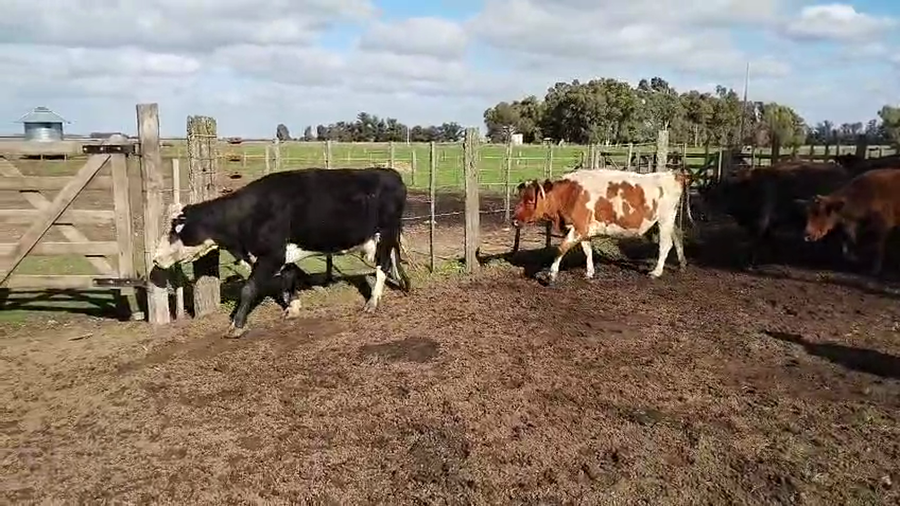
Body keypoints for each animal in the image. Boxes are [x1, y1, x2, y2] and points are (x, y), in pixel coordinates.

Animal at [152, 167, 411, 338]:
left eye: (175, 230)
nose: (155, 257)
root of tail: (391, 173)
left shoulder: (271, 255)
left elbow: (248, 289)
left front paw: (236, 325)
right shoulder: (283, 255)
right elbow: (288, 279)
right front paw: (292, 308)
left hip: (385, 233)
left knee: (382, 266)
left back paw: (373, 302)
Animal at [512, 168, 690, 282]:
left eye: (530, 200)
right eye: (520, 197)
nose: (514, 220)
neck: (570, 194)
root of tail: (673, 174)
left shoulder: (579, 227)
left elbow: (561, 248)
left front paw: (552, 274)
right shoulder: (584, 229)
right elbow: (587, 250)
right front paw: (589, 272)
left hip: (664, 219)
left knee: (665, 244)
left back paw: (656, 272)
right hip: (668, 220)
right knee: (678, 235)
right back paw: (682, 264)